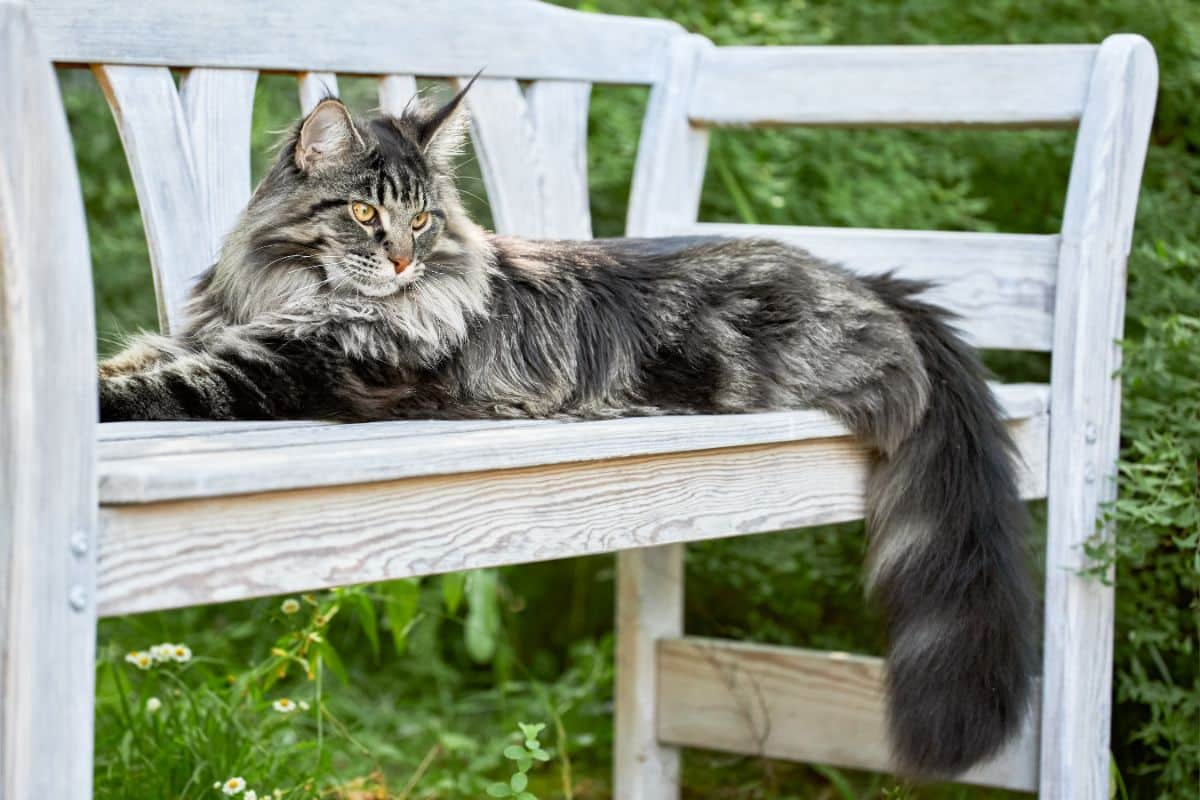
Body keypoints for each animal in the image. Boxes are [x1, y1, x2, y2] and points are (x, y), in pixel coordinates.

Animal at [103, 81, 1036, 777]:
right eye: (365, 215)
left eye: (422, 220)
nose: (403, 259)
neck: (290, 293)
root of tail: (871, 282)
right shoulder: (211, 340)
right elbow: (131, 362)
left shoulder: (284, 372)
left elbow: (150, 389)